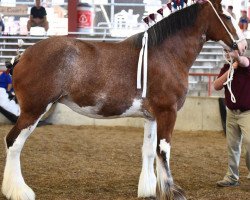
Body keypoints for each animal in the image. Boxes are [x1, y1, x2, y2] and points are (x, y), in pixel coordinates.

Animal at [1, 0, 248, 200]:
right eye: (227, 16)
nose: (243, 46)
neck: (166, 54)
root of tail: (22, 55)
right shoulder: (167, 112)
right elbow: (164, 149)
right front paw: (172, 191)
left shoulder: (152, 116)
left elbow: (149, 150)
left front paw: (150, 190)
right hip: (33, 111)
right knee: (14, 143)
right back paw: (20, 191)